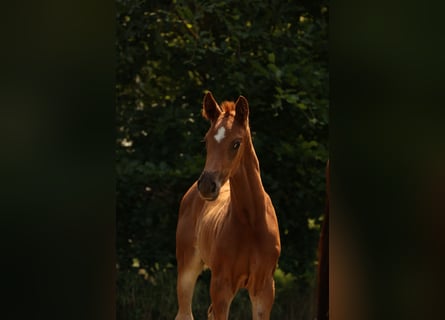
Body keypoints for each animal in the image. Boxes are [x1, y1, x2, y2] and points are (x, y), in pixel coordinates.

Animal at [175, 92, 280, 320]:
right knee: (185, 312)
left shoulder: (264, 288)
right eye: (206, 141)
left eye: (236, 143)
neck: (252, 222)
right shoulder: (221, 285)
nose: (207, 185)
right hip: (187, 267)